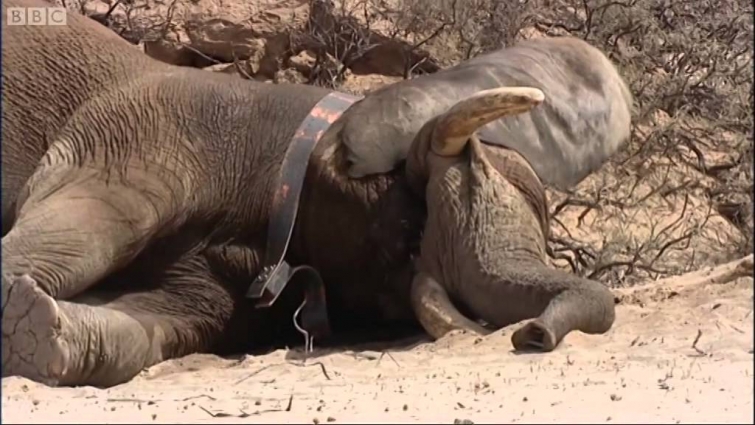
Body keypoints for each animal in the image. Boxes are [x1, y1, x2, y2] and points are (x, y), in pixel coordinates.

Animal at [2, 0, 631, 388]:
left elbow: (153, 325)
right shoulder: (143, 130)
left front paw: (35, 332)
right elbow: (84, 232)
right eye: (409, 230)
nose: (532, 335)